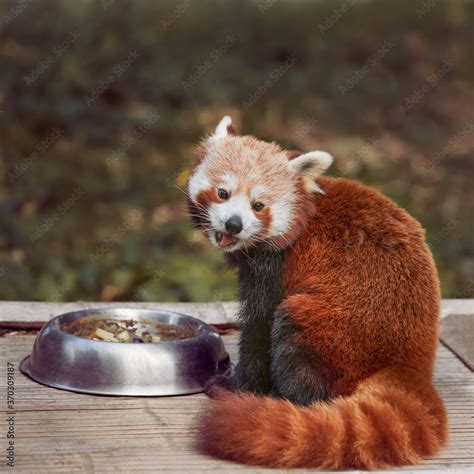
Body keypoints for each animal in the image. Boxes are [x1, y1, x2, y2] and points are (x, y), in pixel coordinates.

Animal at [187, 116, 446, 468]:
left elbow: (258, 328)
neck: (303, 213)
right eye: (223, 192)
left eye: (258, 205)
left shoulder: (275, 269)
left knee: (293, 336)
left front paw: (236, 385)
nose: (233, 224)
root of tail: (408, 363)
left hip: (331, 326)